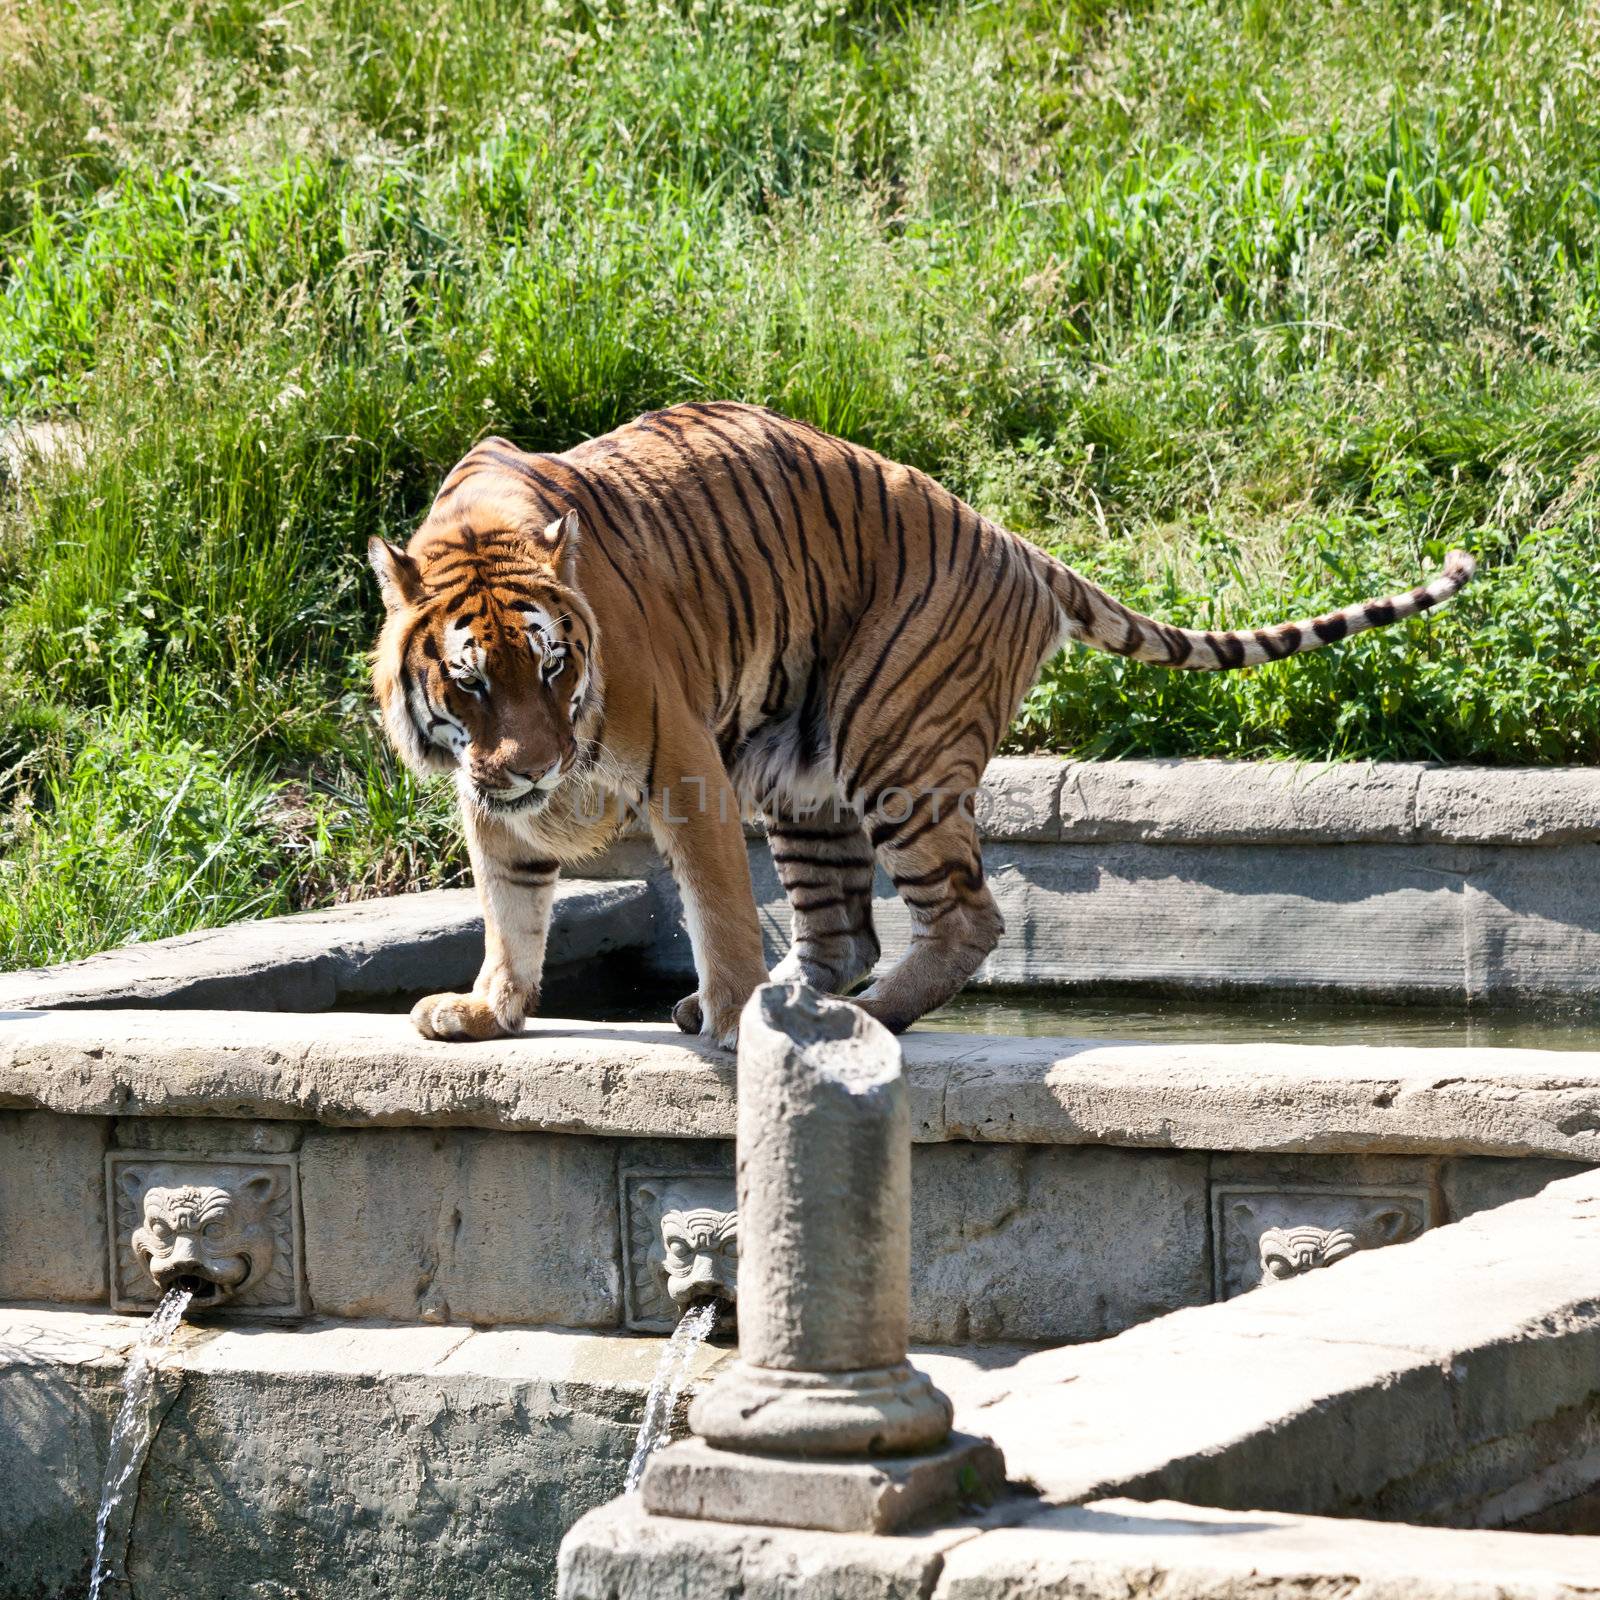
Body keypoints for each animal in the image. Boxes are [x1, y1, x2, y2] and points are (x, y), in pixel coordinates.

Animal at [366, 400, 1472, 1049]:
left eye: (555, 666)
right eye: (470, 683)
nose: (538, 767)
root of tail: (1020, 543)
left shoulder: (684, 767)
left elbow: (717, 910)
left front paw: (726, 1019)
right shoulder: (489, 800)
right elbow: (511, 909)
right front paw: (488, 1009)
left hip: (893, 744)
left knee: (962, 919)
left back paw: (854, 1016)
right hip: (802, 779)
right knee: (842, 929)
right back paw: (799, 1004)